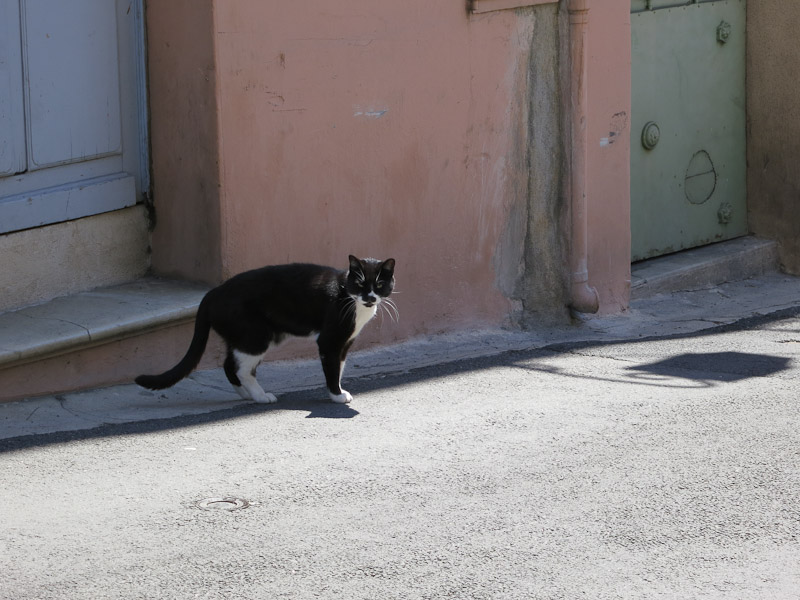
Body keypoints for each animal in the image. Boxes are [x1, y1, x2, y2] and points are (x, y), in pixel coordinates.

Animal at [138, 255, 400, 406]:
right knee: (241, 368)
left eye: (379, 284)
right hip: (256, 335)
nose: (370, 297)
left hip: (244, 335)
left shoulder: (345, 342)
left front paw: (337, 390)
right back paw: (261, 396)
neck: (351, 299)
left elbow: (340, 366)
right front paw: (337, 396)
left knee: (228, 364)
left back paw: (245, 394)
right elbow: (333, 367)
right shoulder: (330, 340)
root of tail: (213, 292)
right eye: (360, 283)